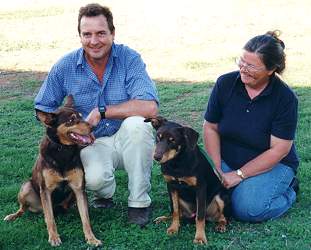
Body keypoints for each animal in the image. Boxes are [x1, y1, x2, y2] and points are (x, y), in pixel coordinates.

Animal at [3, 96, 102, 247]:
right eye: (71, 120)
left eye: (81, 116)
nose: (93, 126)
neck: (63, 149)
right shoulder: (46, 190)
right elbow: (50, 219)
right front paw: (54, 238)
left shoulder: (79, 189)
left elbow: (85, 219)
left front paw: (91, 238)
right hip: (26, 187)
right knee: (23, 208)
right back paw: (12, 216)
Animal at [145, 116, 230, 244]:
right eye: (158, 137)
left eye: (173, 140)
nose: (157, 157)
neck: (177, 163)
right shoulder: (171, 186)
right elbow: (175, 210)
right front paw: (174, 228)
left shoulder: (200, 188)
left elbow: (200, 216)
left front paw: (199, 237)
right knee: (180, 214)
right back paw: (163, 218)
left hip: (221, 197)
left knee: (222, 217)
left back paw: (221, 225)